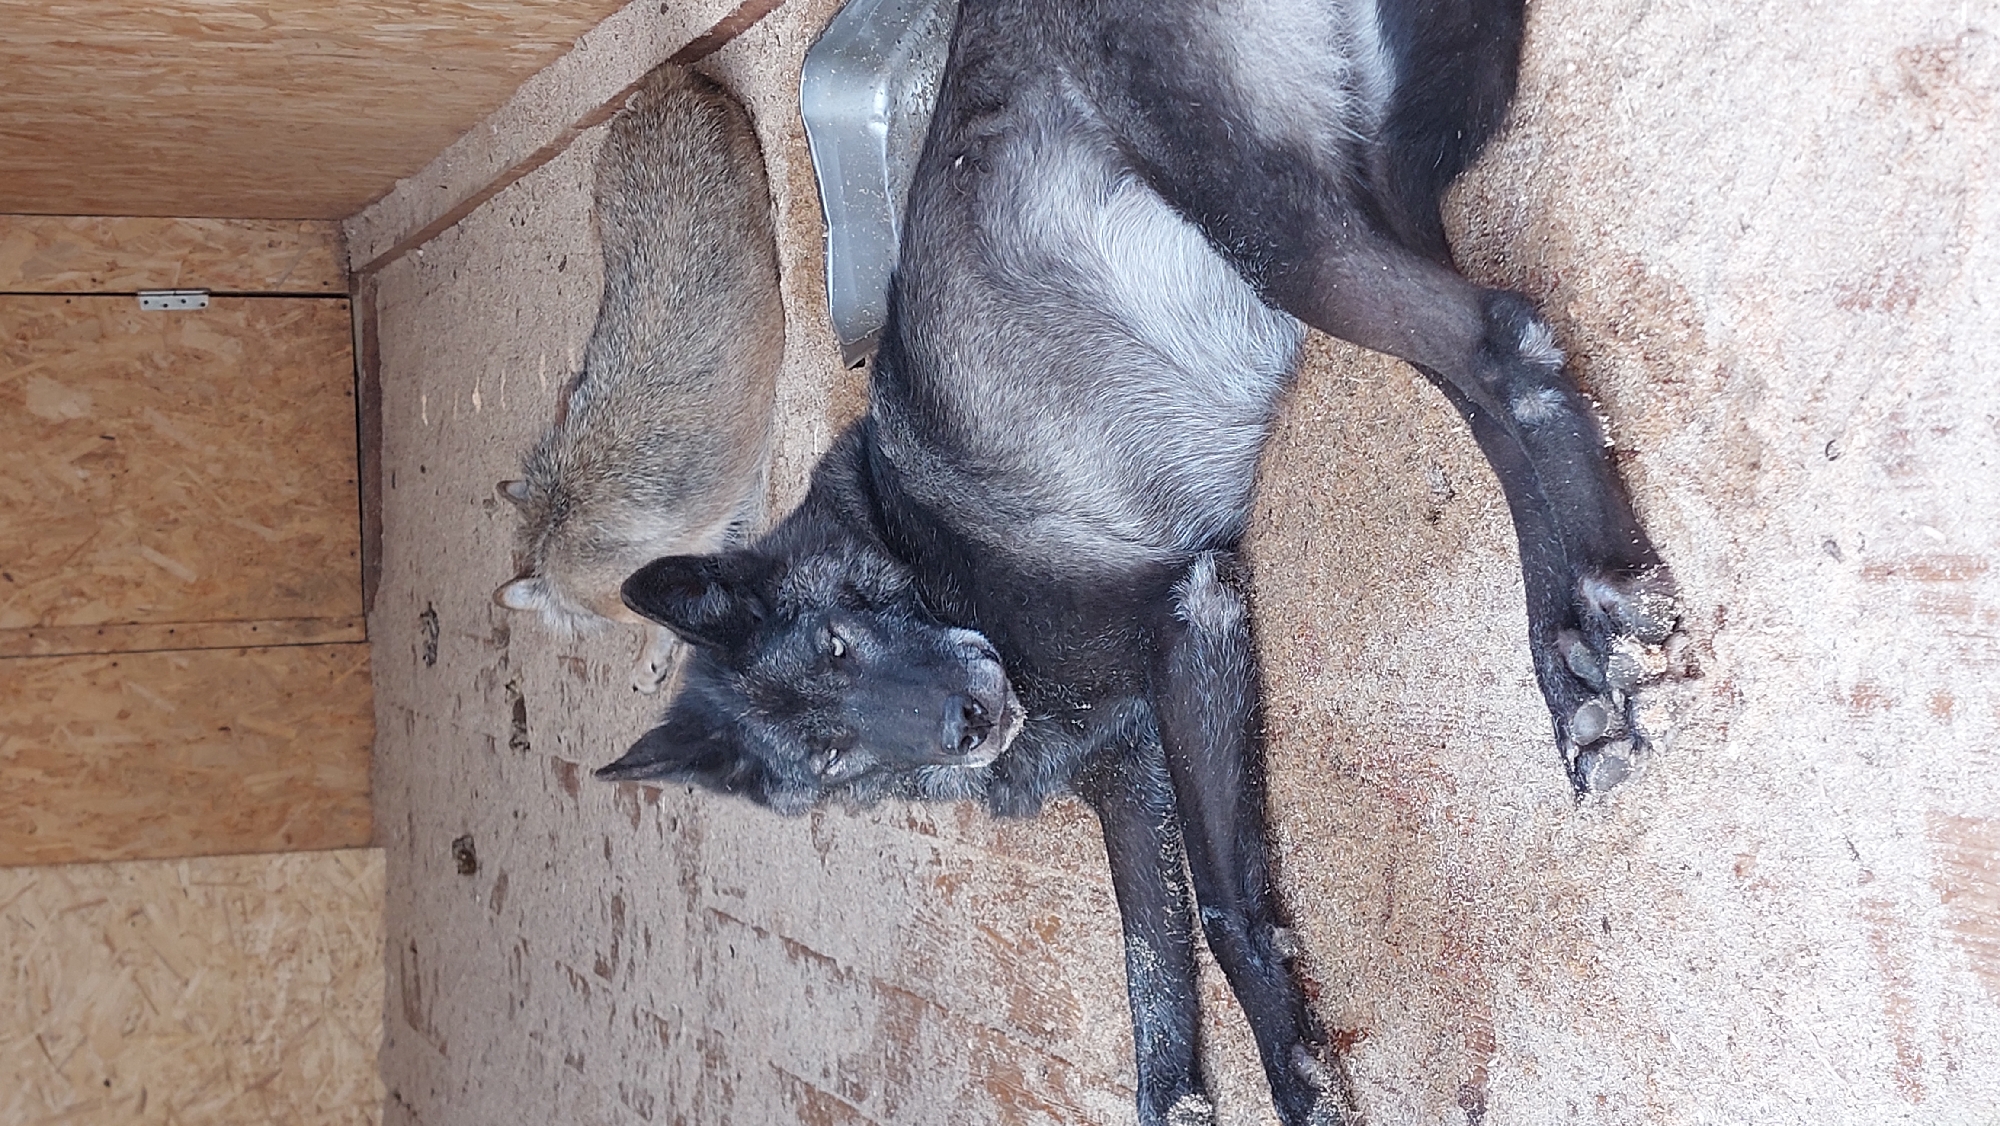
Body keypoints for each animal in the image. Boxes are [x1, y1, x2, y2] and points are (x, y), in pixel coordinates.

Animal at [599, 0, 1685, 1122]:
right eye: (828, 757)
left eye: (839, 643)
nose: (967, 722)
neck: (918, 558)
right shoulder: (1129, 768)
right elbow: (1150, 977)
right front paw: (1196, 1089)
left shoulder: (1192, 618)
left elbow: (1221, 909)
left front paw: (1297, 1080)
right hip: (1365, 199)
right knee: (1485, 388)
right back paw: (1574, 662)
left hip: (1269, 225)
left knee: (1502, 339)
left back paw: (1601, 590)